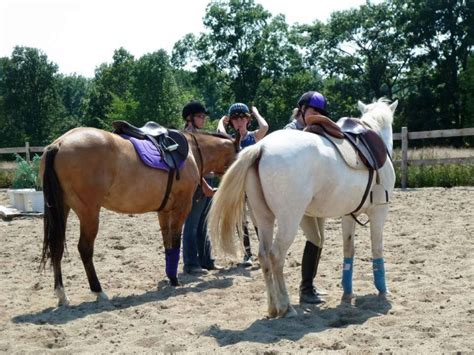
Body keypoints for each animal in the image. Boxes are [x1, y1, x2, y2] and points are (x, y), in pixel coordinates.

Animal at [39, 127, 239, 306]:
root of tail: (59, 144)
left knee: (57, 247)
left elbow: (167, 243)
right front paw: (175, 280)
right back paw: (98, 291)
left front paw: (170, 276)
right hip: (89, 212)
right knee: (85, 249)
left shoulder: (164, 211)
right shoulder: (181, 208)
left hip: (62, 209)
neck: (191, 151)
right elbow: (175, 241)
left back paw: (62, 295)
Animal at [209, 98, 398, 318]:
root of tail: (261, 147)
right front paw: (383, 290)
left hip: (263, 218)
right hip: (288, 220)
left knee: (264, 255)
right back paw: (286, 307)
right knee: (276, 255)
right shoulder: (379, 211)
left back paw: (273, 307)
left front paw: (347, 294)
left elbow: (348, 250)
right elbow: (377, 249)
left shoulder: (348, 215)